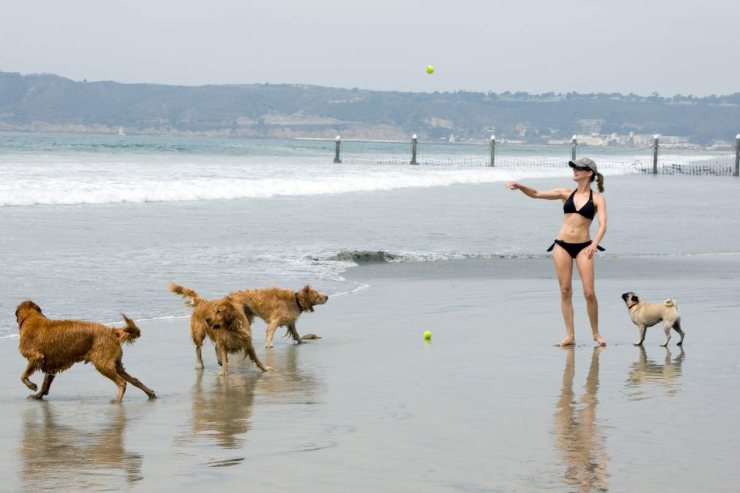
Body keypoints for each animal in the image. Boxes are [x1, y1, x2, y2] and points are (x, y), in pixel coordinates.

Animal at [15, 300, 156, 400]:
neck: (31, 317)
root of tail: (112, 332)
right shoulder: (51, 366)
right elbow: (45, 384)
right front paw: (38, 395)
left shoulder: (35, 356)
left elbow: (23, 376)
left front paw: (32, 386)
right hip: (116, 363)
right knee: (134, 379)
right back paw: (150, 393)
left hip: (102, 363)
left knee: (122, 383)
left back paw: (117, 400)